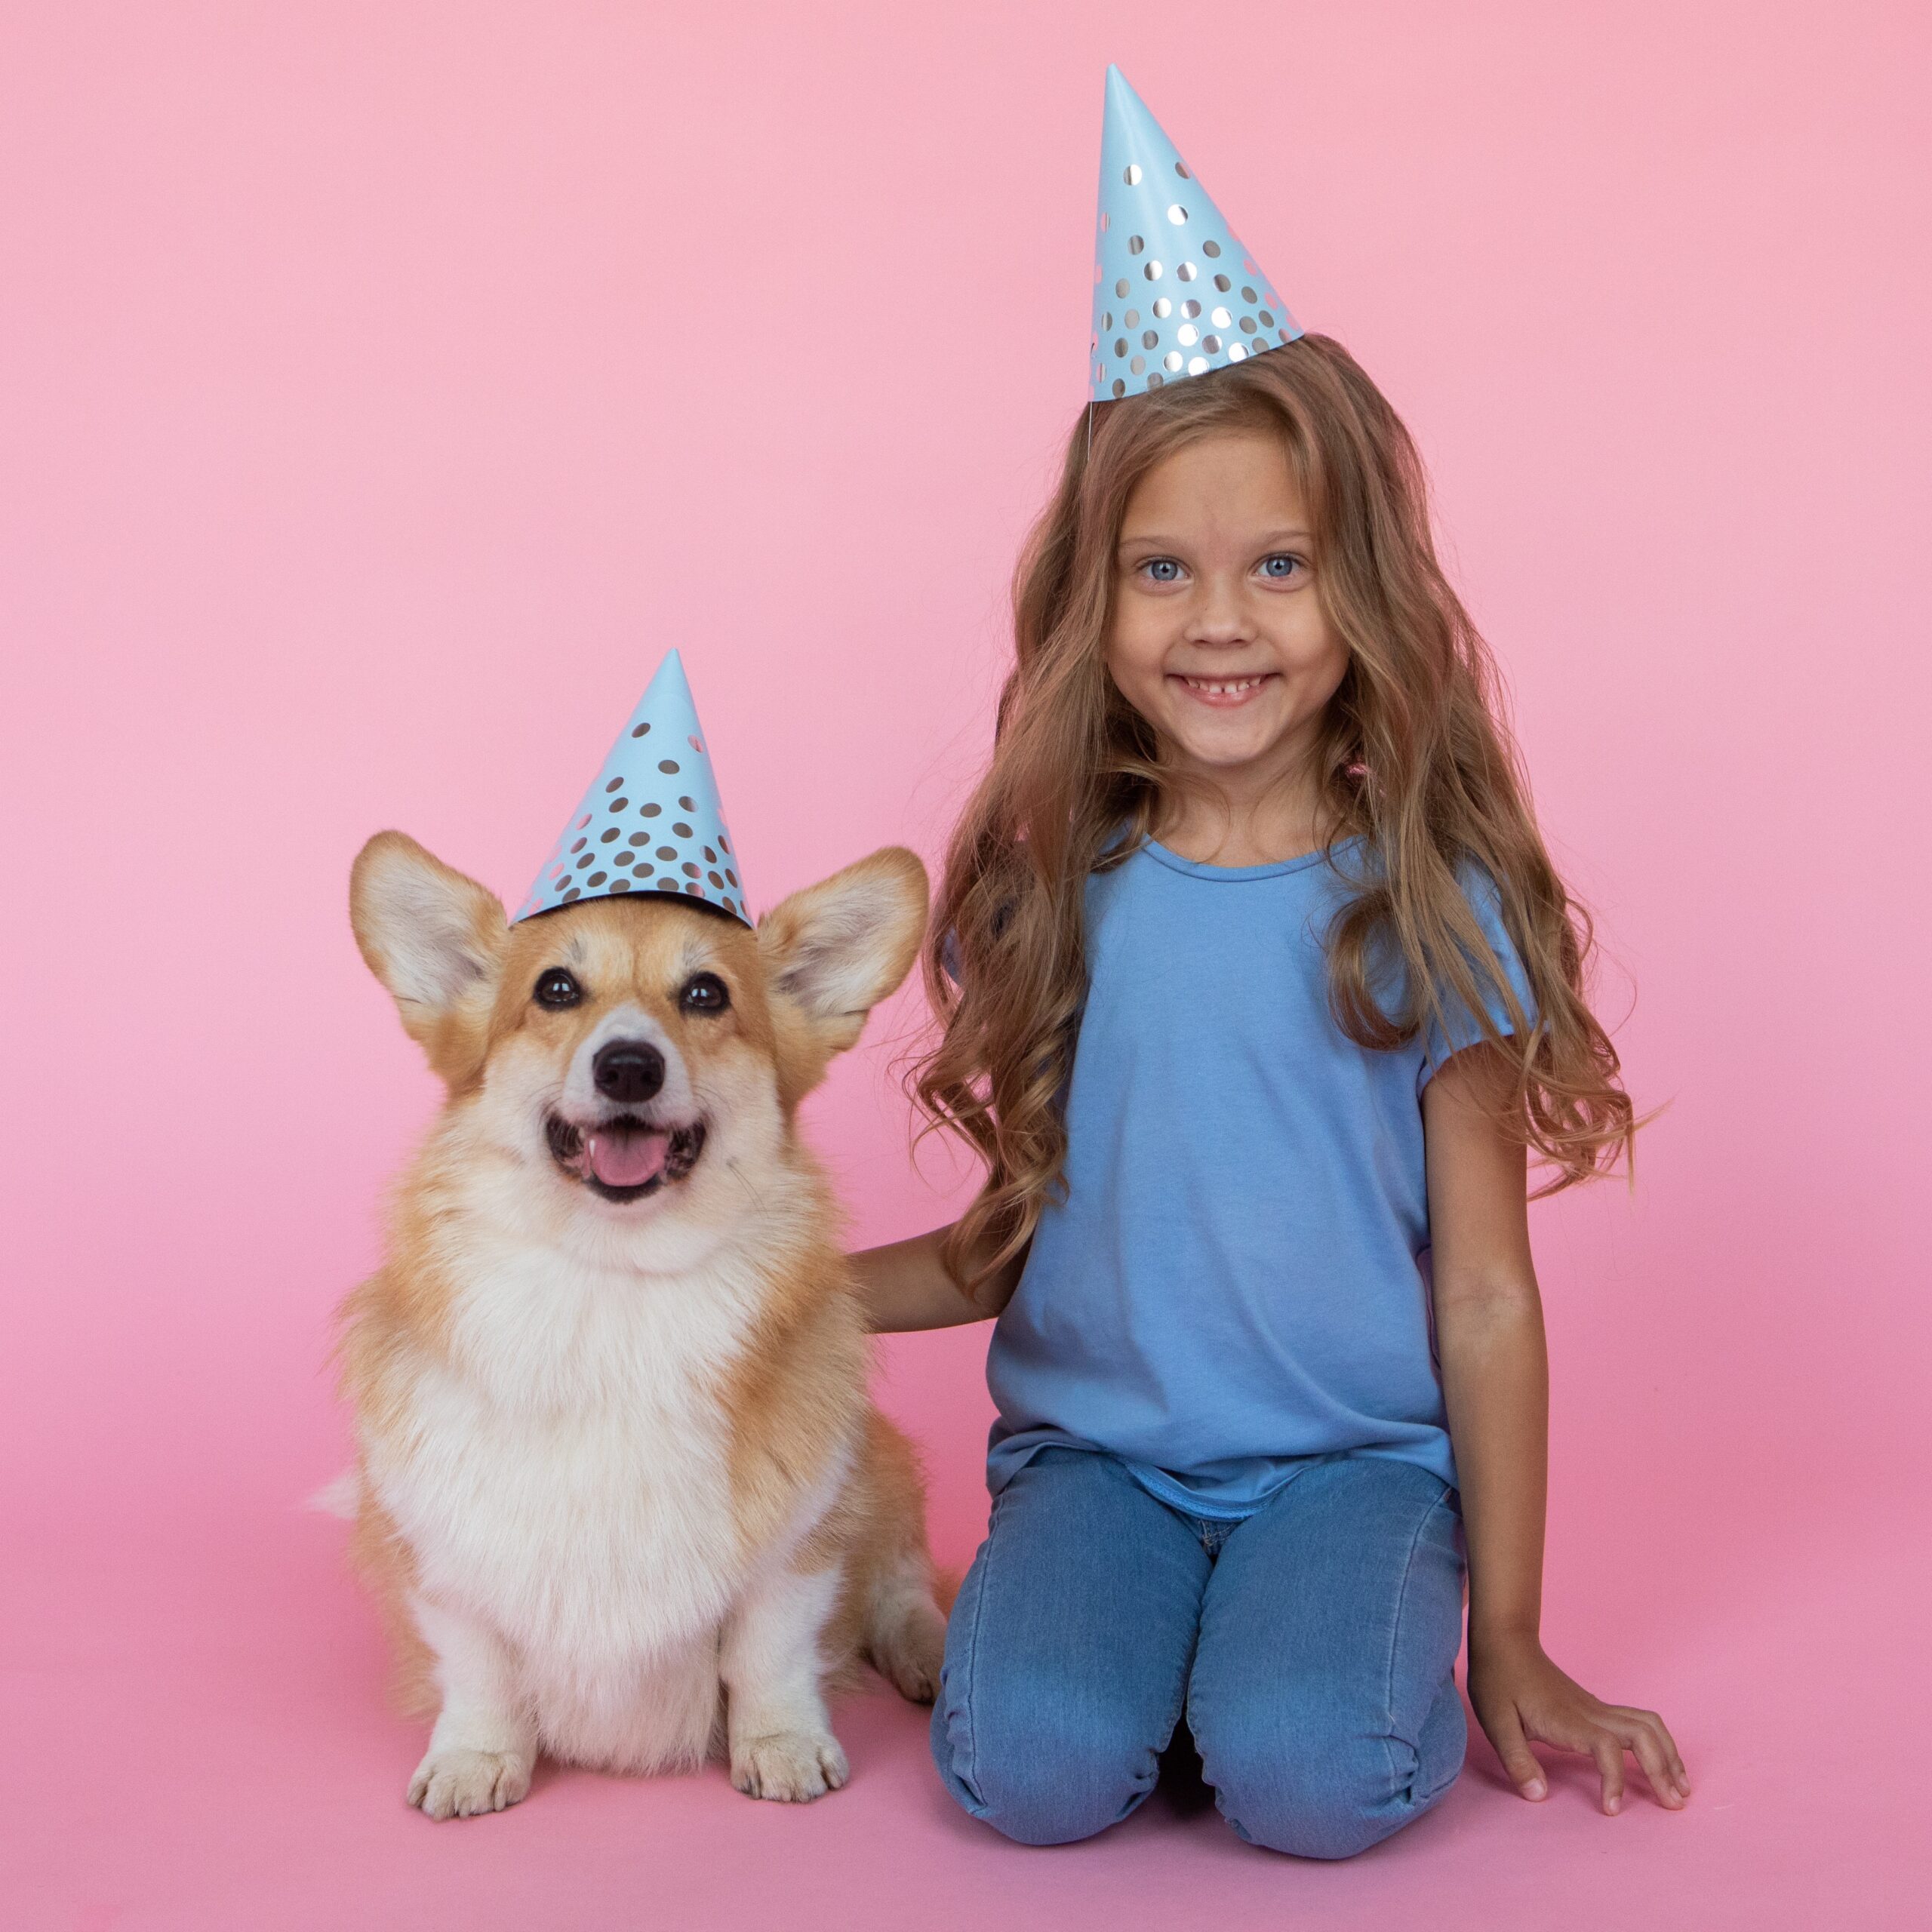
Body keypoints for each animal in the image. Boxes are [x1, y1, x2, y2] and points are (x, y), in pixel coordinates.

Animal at [336, 838, 946, 1816]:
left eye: (705, 994)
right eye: (554, 989)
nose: (628, 1065)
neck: (613, 1283)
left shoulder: (800, 1541)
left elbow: (770, 1651)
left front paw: (782, 1746)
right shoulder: (443, 1553)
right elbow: (479, 1667)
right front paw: (474, 1757)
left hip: (880, 1471)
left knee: (903, 1586)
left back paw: (926, 1652)